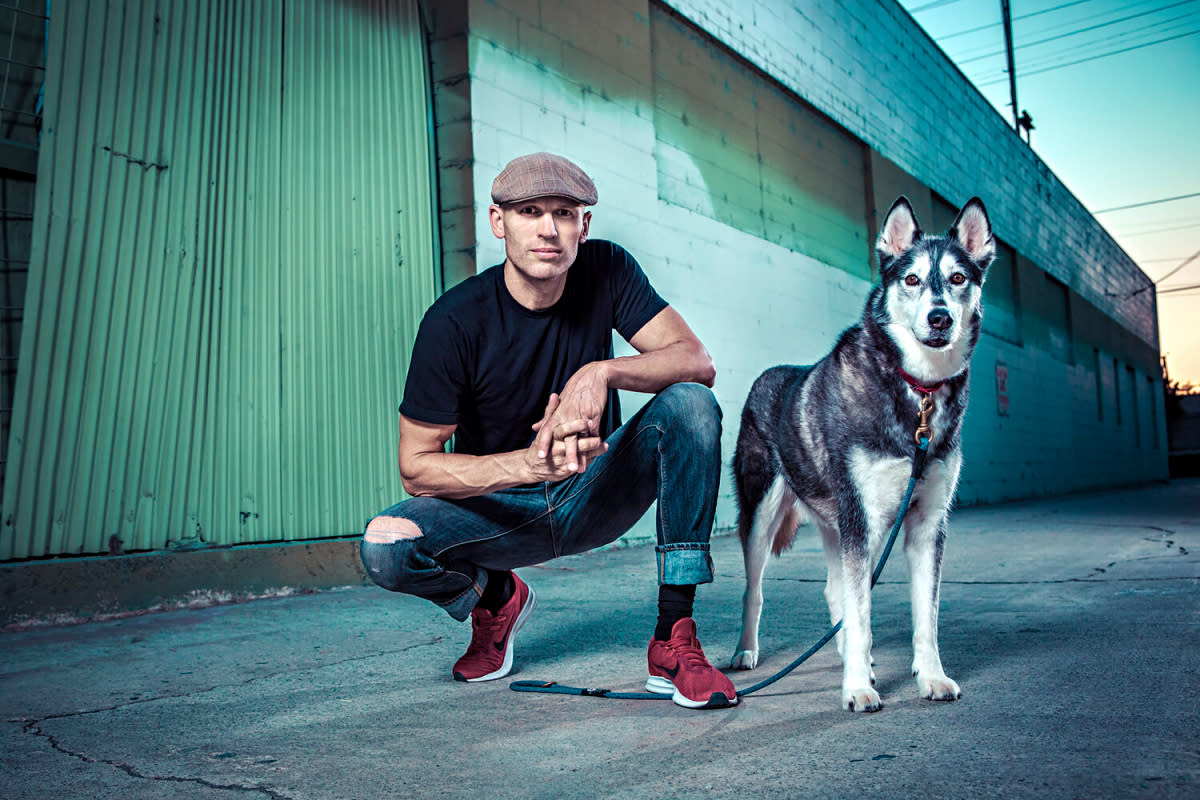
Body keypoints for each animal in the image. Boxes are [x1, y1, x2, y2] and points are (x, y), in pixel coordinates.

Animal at [729, 196, 993, 710]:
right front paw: (856, 687)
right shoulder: (862, 517)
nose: (940, 318)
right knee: (756, 590)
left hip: (841, 525)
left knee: (836, 592)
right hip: (766, 513)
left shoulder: (926, 524)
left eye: (958, 278)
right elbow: (862, 614)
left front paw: (931, 677)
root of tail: (767, 373)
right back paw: (746, 653)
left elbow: (925, 617)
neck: (917, 392)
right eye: (911, 280)